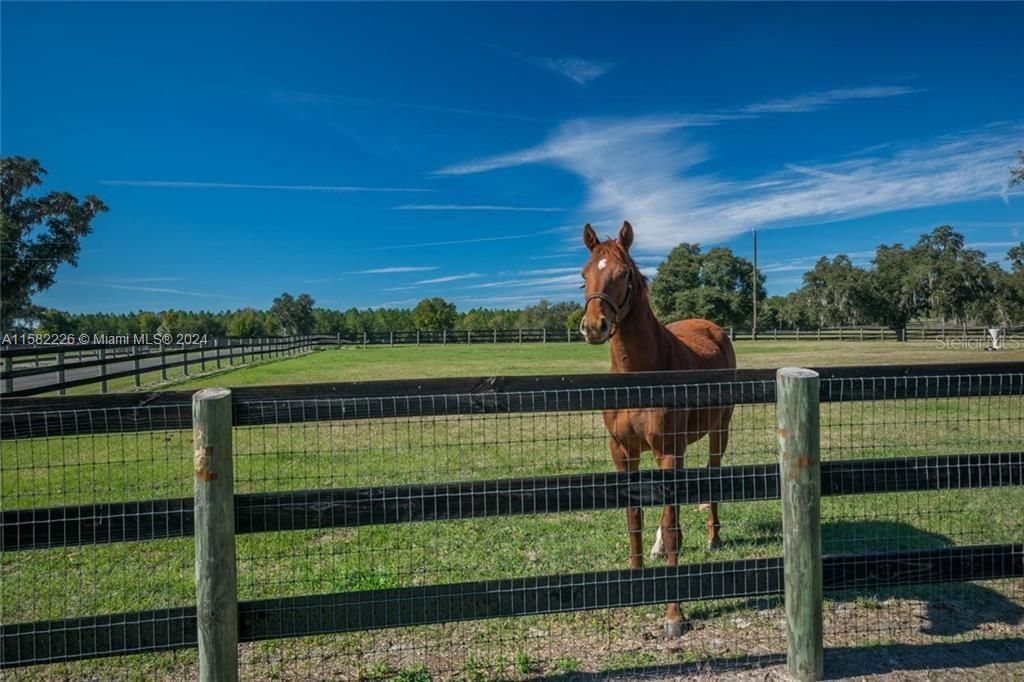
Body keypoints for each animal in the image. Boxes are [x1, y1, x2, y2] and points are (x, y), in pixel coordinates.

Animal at [577, 220, 737, 634]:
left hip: (719, 432)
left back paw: (713, 538)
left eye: (623, 274)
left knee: (711, 476)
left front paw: (674, 614)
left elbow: (669, 522)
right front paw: (636, 582)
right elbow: (634, 518)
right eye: (584, 275)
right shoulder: (623, 452)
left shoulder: (667, 450)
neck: (641, 374)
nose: (594, 326)